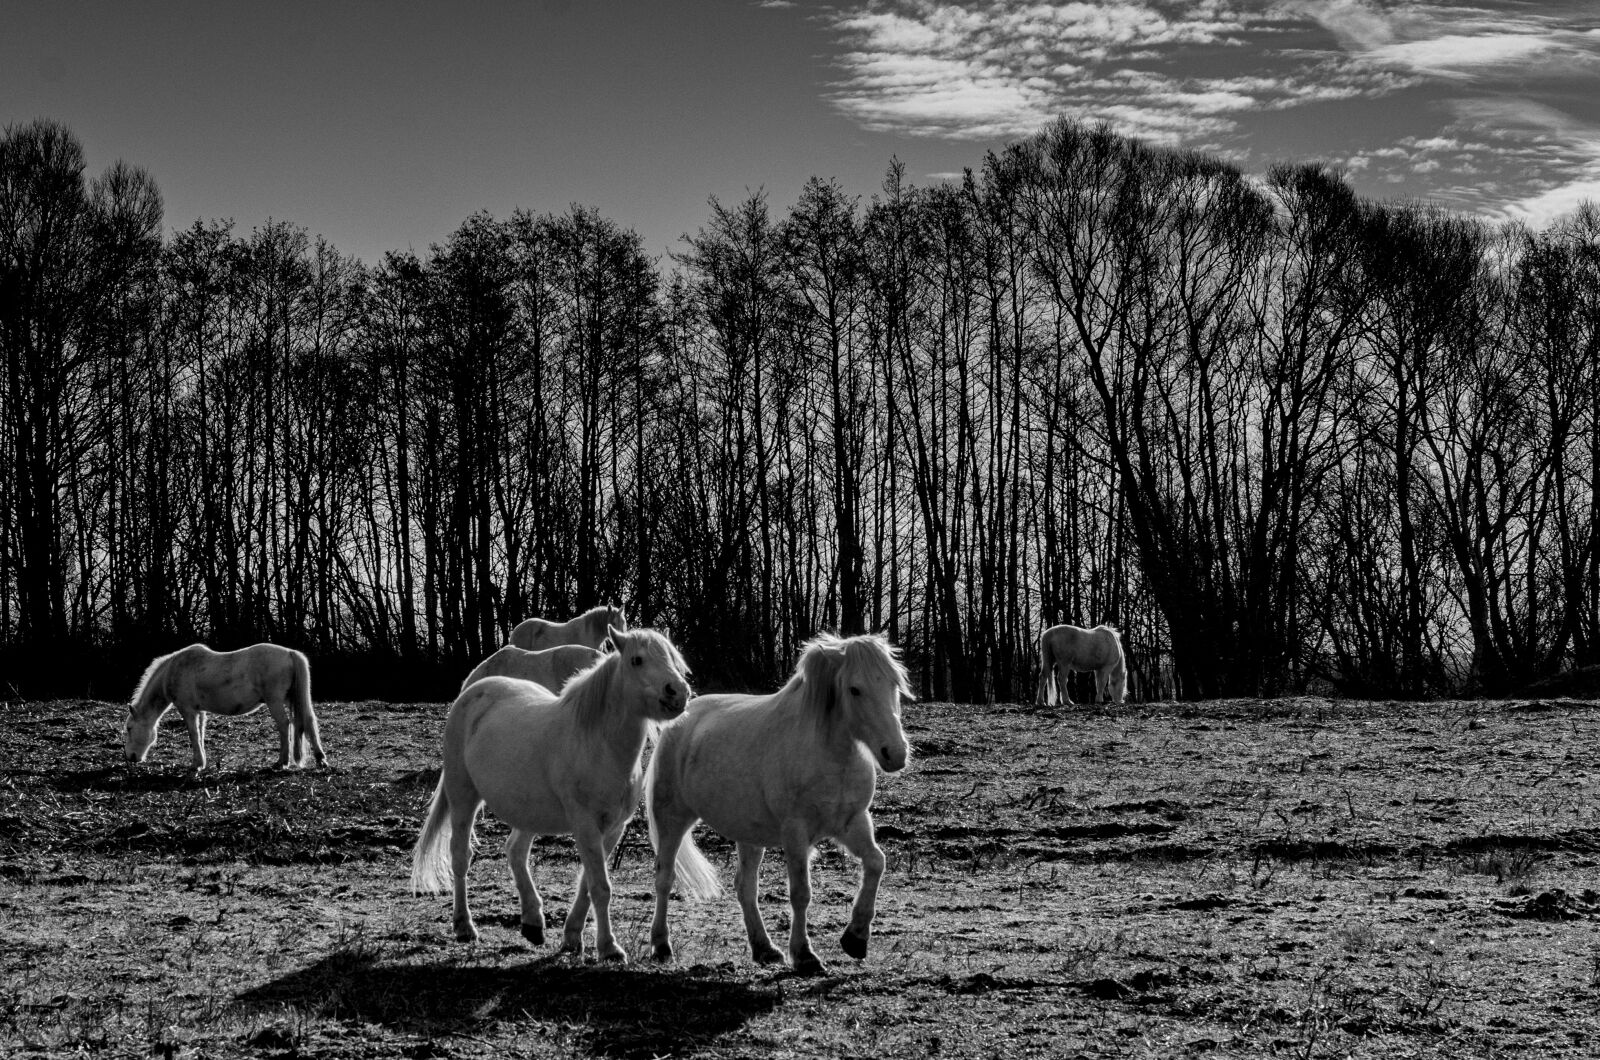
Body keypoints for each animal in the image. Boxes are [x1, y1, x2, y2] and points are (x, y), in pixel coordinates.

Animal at [122, 642, 326, 773]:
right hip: (292, 700)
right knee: (307, 721)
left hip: (275, 701)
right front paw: (202, 762)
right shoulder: (199, 711)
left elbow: (193, 734)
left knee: (284, 725)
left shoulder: (188, 710)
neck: (174, 670)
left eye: (129, 728)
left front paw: (196, 764)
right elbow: (200, 733)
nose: (130, 757)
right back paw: (320, 759)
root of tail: (289, 652)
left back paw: (281, 762)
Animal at [646, 632, 912, 975]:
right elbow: (800, 893)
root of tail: (682, 720)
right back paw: (661, 946)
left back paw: (764, 949)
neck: (831, 756)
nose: (896, 753)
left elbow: (876, 863)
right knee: (664, 879)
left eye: (893, 683)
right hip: (672, 820)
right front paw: (805, 955)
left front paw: (855, 937)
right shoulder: (796, 833)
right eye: (855, 689)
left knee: (745, 887)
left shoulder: (852, 822)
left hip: (748, 834)